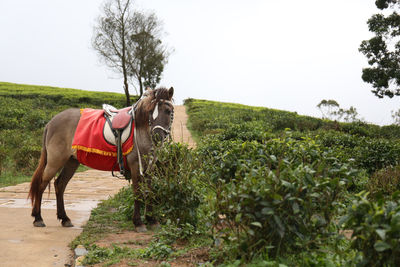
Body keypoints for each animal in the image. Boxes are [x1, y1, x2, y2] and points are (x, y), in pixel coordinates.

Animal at [26, 87, 173, 232]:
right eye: (150, 111)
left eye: (168, 111)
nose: (157, 136)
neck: (141, 130)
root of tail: (51, 123)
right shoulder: (135, 165)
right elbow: (137, 192)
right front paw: (138, 223)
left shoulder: (150, 167)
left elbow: (149, 191)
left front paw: (152, 220)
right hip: (55, 161)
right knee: (42, 183)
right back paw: (38, 218)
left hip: (71, 162)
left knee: (60, 185)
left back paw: (64, 218)